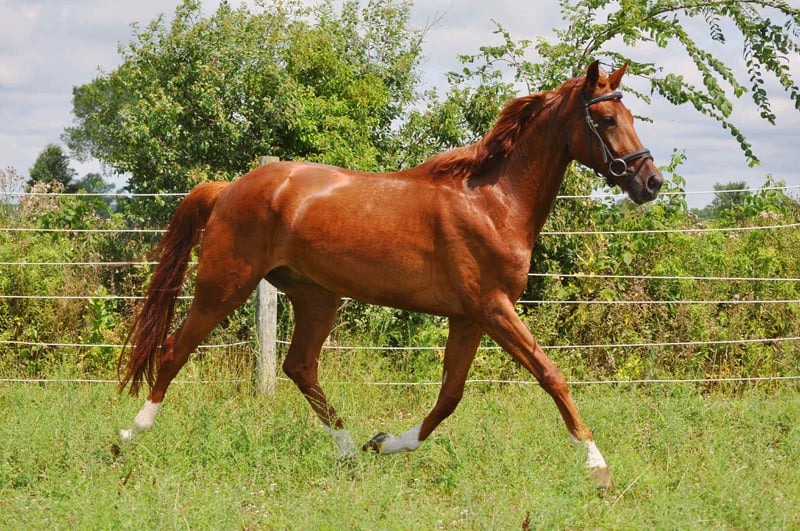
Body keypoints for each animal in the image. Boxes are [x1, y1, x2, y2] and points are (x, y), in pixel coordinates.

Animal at [118, 61, 663, 488]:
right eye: (606, 118)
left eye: (632, 117)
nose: (651, 181)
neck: (492, 202)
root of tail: (229, 188)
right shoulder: (492, 308)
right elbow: (551, 375)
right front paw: (597, 466)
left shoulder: (468, 318)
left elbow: (449, 396)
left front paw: (385, 443)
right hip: (224, 285)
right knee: (175, 350)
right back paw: (127, 437)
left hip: (317, 297)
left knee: (300, 366)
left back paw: (349, 451)